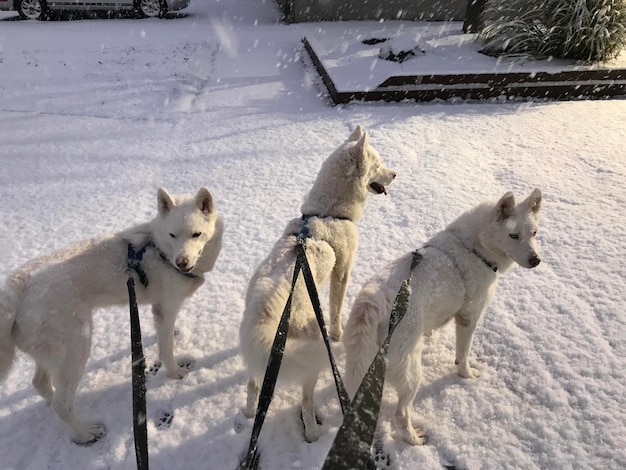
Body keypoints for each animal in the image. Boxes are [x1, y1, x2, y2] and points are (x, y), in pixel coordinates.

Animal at [0, 186, 223, 444]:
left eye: (196, 234)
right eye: (172, 235)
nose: (182, 262)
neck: (159, 249)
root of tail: (16, 286)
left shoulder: (159, 309)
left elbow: (164, 335)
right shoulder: (165, 309)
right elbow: (166, 349)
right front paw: (175, 372)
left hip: (50, 352)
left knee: (40, 384)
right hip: (77, 345)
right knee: (62, 403)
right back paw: (84, 433)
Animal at [239, 125, 394, 440]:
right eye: (379, 164)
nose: (395, 174)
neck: (329, 212)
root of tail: (264, 309)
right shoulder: (342, 271)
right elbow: (336, 309)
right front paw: (337, 333)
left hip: (260, 358)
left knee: (253, 384)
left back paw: (249, 413)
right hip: (309, 357)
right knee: (306, 401)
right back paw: (312, 432)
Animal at [342, 188, 540, 444]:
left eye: (534, 233)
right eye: (513, 235)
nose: (536, 260)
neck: (473, 248)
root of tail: (373, 300)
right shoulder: (468, 318)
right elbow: (463, 355)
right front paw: (466, 375)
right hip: (411, 373)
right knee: (401, 413)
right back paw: (414, 439)